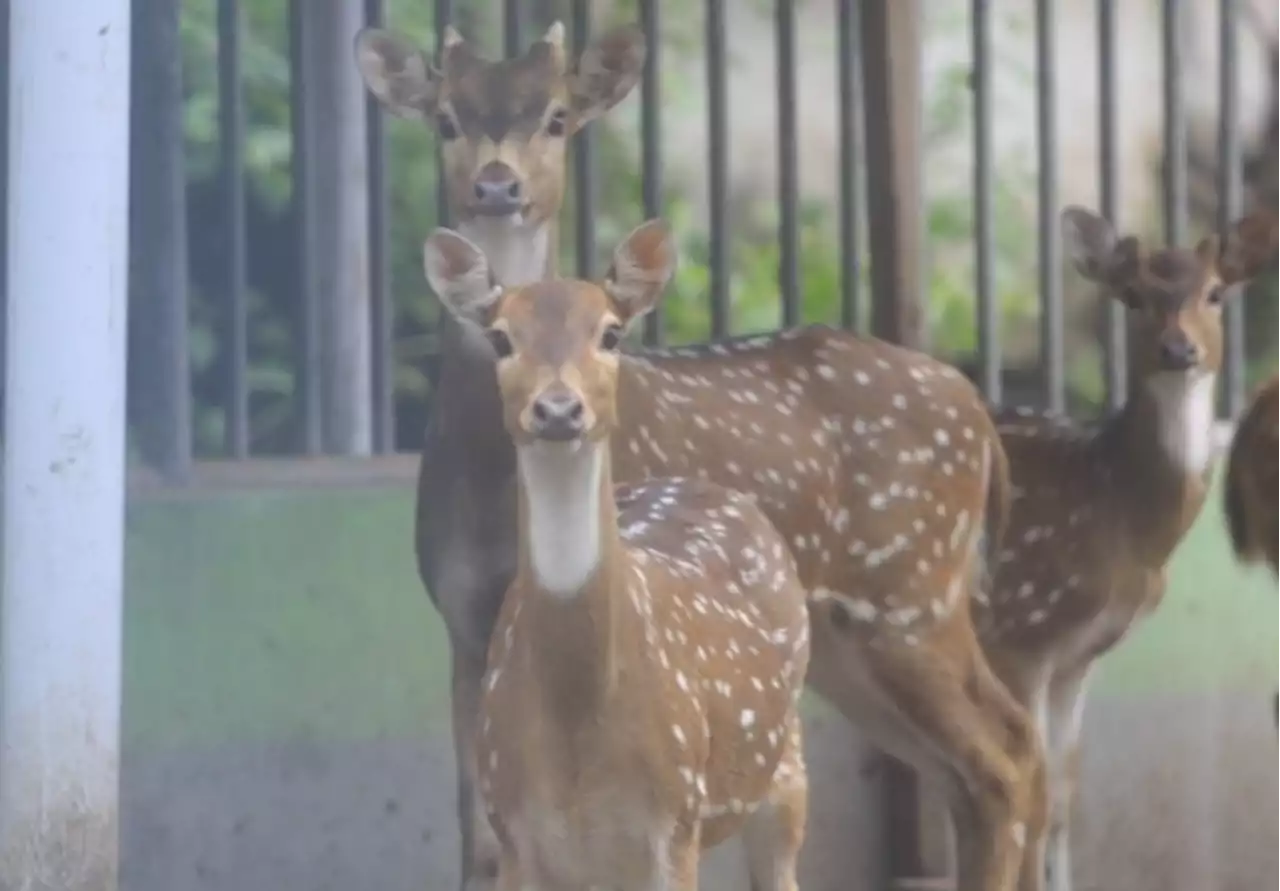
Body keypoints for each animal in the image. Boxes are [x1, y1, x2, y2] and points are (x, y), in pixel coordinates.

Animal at [424, 221, 808, 891]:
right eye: (500, 336)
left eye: (610, 332)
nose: (557, 409)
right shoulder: (514, 828)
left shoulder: (675, 821)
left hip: (784, 769)